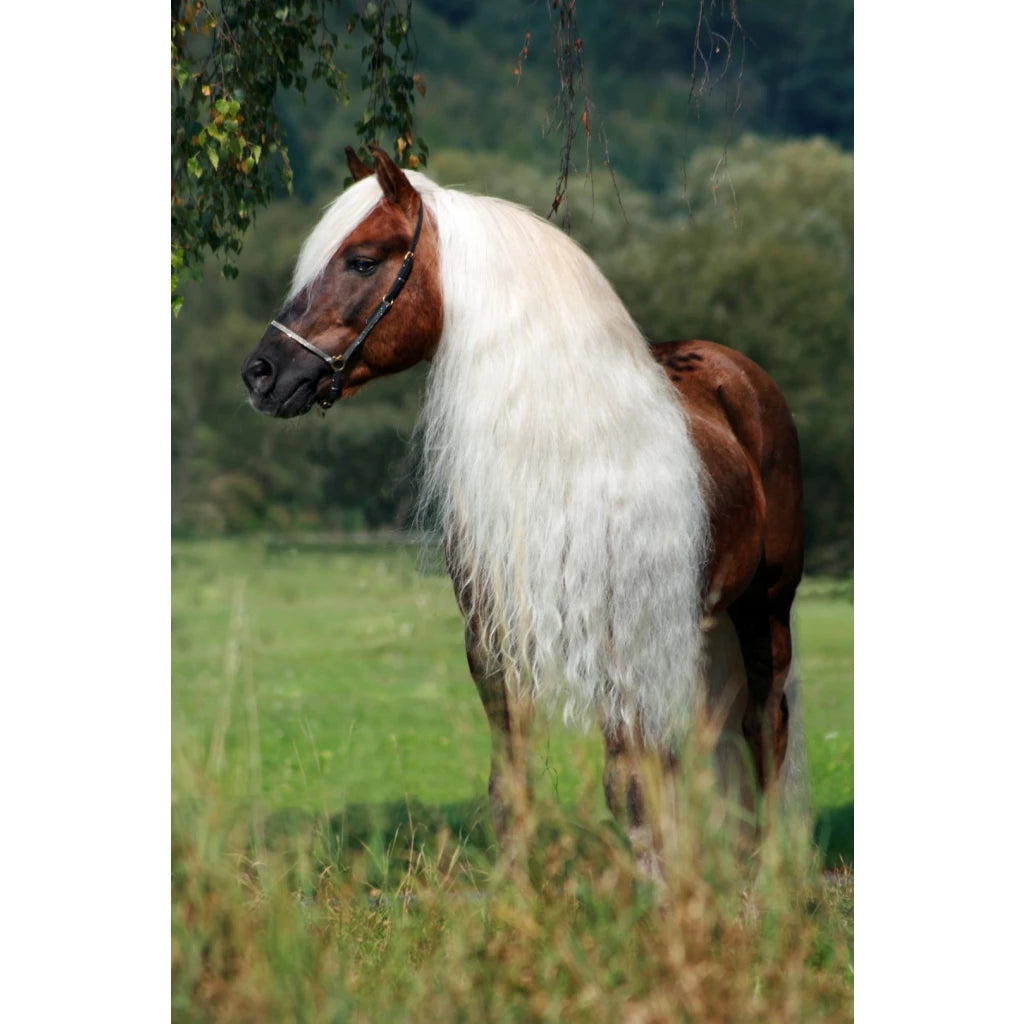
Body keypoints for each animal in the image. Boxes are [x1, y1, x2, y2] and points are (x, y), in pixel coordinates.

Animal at [242, 146, 804, 867]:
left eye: (363, 260)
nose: (261, 374)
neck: (558, 453)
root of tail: (740, 374)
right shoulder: (495, 644)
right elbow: (512, 791)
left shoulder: (620, 641)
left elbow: (631, 789)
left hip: (766, 605)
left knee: (765, 728)